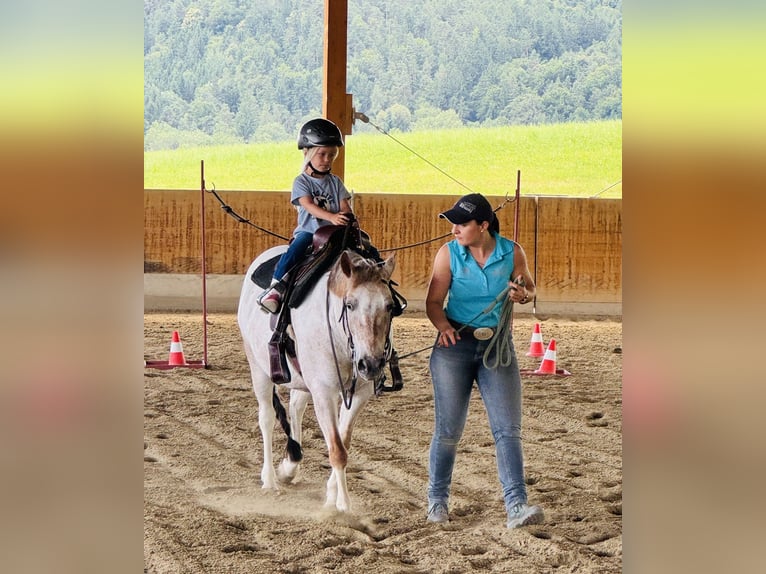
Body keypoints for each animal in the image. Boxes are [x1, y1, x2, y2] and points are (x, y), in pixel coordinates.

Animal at [237, 245, 397, 512]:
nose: (371, 364)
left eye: (389, 306)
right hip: (258, 367)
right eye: (350, 305)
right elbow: (337, 449)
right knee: (267, 418)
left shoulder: (359, 393)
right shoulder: (324, 392)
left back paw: (290, 467)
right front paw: (343, 505)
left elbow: (343, 441)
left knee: (295, 408)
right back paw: (269, 479)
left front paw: (332, 493)